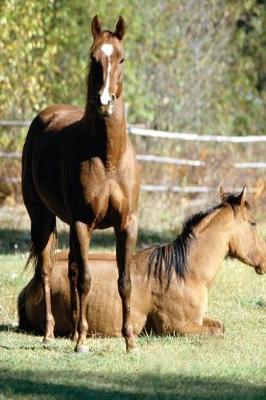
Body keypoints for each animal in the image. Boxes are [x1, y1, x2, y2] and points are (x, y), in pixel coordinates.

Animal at [17, 188, 264, 338]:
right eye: (253, 223)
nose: (263, 260)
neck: (185, 273)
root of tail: (32, 285)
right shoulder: (177, 327)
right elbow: (217, 332)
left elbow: (220, 326)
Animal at [21, 15, 140, 354]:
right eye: (93, 57)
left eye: (121, 58)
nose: (103, 102)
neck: (108, 158)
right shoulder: (83, 223)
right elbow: (87, 279)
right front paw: (83, 343)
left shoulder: (127, 224)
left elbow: (124, 281)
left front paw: (130, 342)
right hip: (43, 218)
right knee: (48, 269)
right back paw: (51, 334)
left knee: (72, 270)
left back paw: (73, 330)